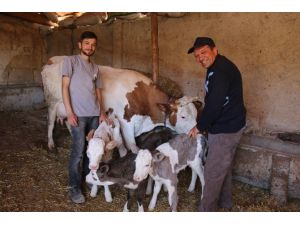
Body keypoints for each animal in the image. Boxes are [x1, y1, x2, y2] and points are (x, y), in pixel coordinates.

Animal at [41, 55, 203, 152]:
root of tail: (53, 59)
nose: (198, 133)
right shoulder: (126, 122)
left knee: (69, 123)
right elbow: (132, 147)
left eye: (196, 115)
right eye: (183, 116)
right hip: (52, 103)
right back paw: (50, 144)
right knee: (50, 123)